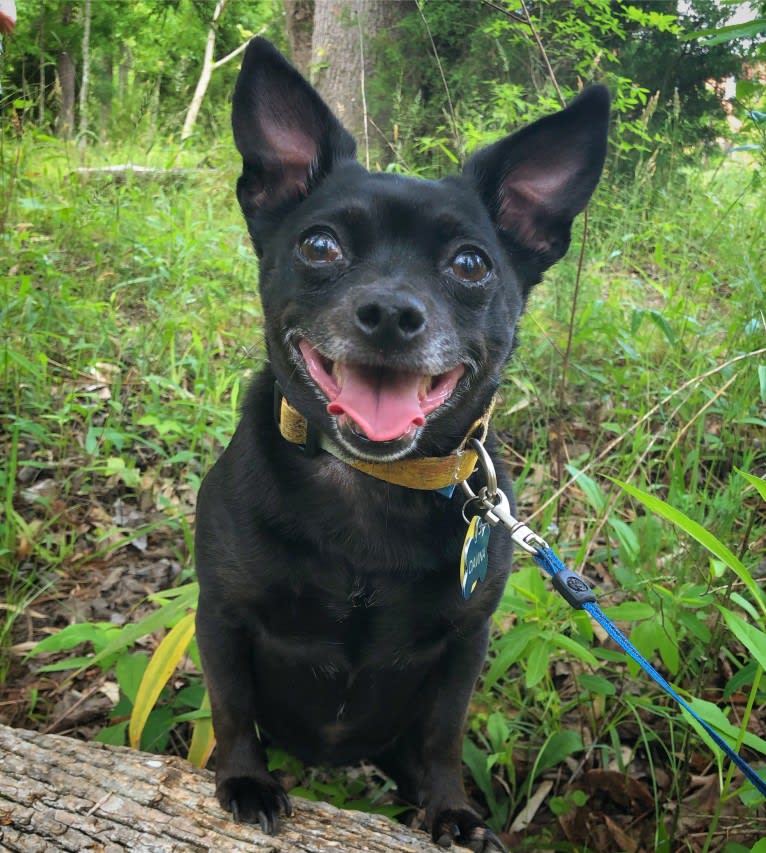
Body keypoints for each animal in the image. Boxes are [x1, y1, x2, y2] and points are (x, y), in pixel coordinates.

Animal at [196, 38, 612, 852]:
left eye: (471, 264)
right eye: (320, 245)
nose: (390, 312)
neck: (368, 485)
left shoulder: (464, 645)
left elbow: (444, 734)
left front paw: (449, 809)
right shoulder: (221, 615)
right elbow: (232, 709)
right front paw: (246, 781)